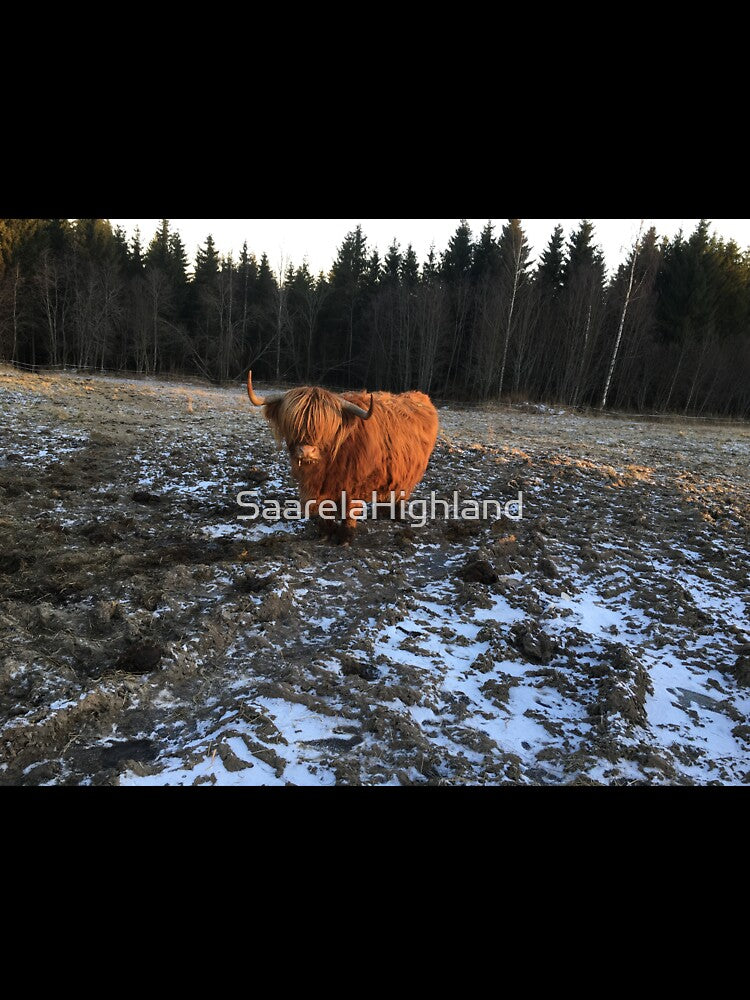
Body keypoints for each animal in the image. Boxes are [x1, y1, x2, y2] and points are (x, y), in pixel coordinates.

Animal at [246, 371, 439, 542]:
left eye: (325, 428)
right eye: (293, 424)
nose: (307, 451)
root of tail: (420, 397)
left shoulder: (355, 484)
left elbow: (349, 511)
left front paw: (345, 538)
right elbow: (325, 509)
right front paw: (325, 534)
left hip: (409, 473)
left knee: (400, 493)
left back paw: (396, 516)